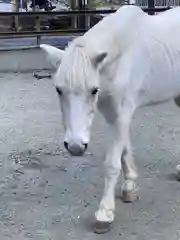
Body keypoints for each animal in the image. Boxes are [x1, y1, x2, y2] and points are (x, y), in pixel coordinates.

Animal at [40, 5, 180, 234]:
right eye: (58, 89)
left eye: (93, 90)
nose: (75, 146)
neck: (120, 58)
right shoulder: (114, 115)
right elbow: (124, 152)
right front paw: (130, 186)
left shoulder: (122, 114)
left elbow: (112, 164)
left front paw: (105, 214)